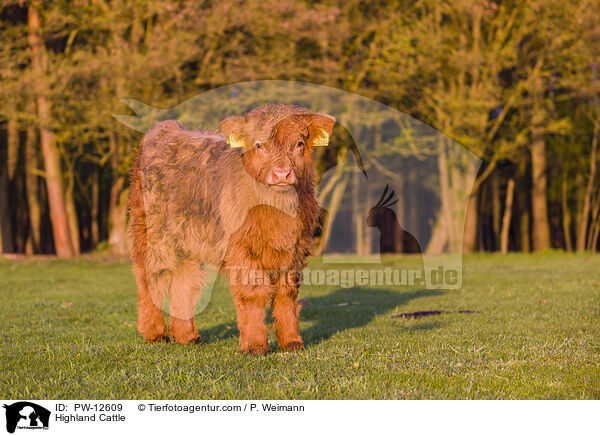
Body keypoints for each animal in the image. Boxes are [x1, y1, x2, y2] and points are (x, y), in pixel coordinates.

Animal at [128, 104, 336, 354]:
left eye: (299, 143)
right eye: (259, 144)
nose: (281, 174)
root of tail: (164, 128)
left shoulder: (295, 248)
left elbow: (287, 293)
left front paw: (292, 342)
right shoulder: (241, 248)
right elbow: (253, 293)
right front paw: (255, 345)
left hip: (188, 238)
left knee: (184, 282)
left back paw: (186, 336)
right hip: (152, 234)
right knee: (150, 278)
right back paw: (155, 333)